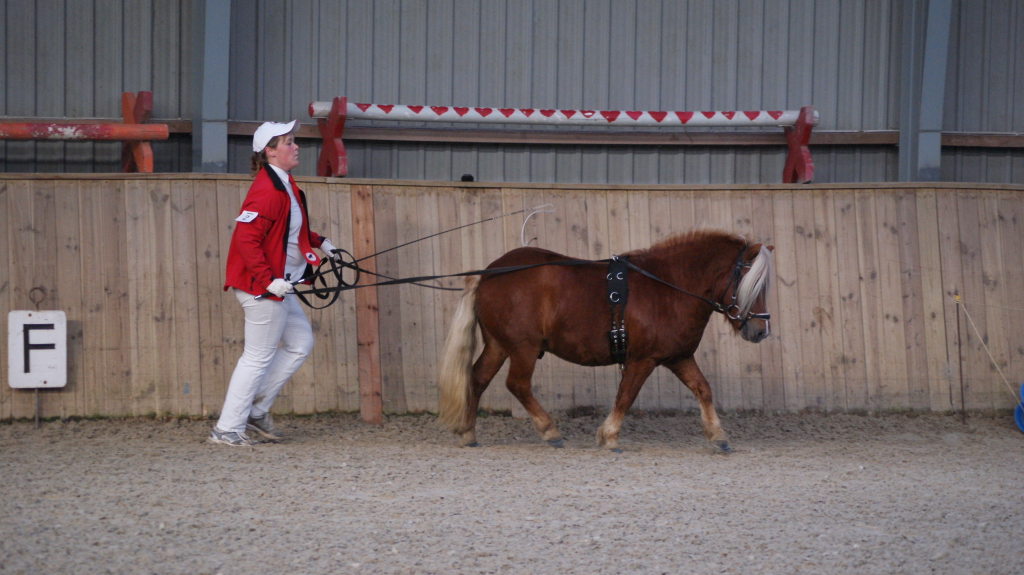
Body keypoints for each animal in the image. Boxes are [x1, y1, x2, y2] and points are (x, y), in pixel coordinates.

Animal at [436, 226, 770, 450]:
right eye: (751, 283)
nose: (760, 331)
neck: (669, 287)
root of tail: (488, 273)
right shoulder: (642, 360)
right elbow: (625, 396)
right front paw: (608, 436)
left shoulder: (678, 357)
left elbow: (703, 389)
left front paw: (718, 435)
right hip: (523, 348)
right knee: (516, 384)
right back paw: (549, 431)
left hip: (499, 345)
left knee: (478, 378)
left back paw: (468, 432)